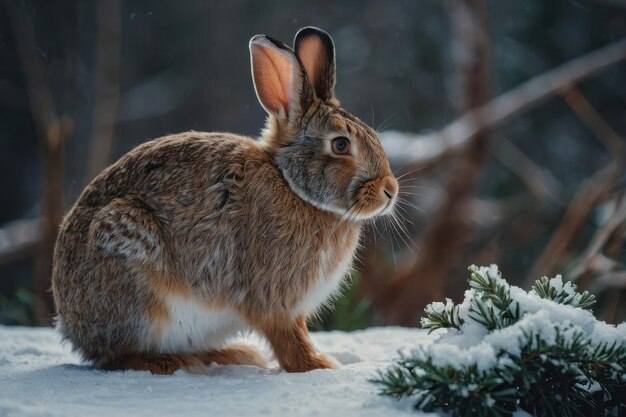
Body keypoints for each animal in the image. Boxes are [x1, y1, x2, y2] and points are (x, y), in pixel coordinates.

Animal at [51, 27, 398, 376]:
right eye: (340, 145)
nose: (390, 190)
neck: (291, 184)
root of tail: (71, 324)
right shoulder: (274, 300)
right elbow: (288, 338)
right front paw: (319, 365)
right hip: (133, 271)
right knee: (116, 356)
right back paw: (169, 362)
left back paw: (233, 354)